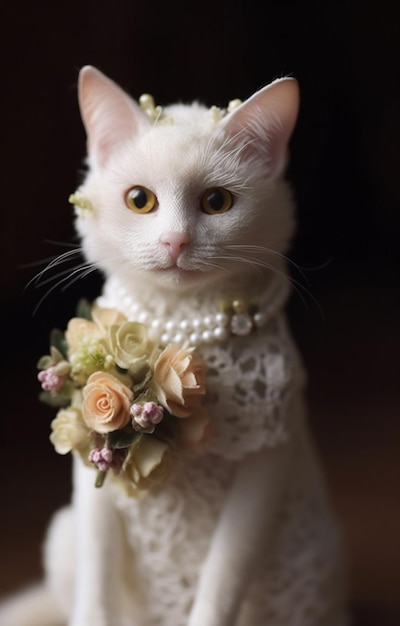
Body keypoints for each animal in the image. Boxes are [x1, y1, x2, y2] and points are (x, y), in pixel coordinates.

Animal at [0, 67, 350, 624]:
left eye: (217, 202)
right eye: (140, 200)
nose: (176, 241)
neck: (180, 320)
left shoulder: (265, 467)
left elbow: (222, 578)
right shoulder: (91, 484)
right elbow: (97, 581)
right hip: (63, 537)